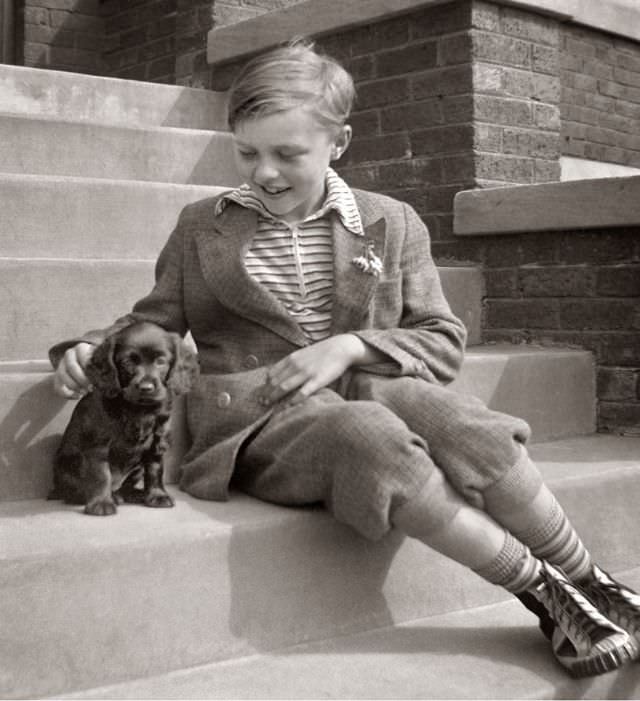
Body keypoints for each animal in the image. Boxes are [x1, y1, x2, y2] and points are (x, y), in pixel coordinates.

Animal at [50, 322, 199, 516]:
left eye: (160, 361)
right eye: (127, 362)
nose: (146, 387)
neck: (139, 409)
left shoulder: (157, 442)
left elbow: (155, 469)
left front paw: (158, 495)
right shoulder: (98, 445)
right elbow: (101, 474)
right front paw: (101, 503)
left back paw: (135, 494)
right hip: (68, 465)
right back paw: (113, 497)